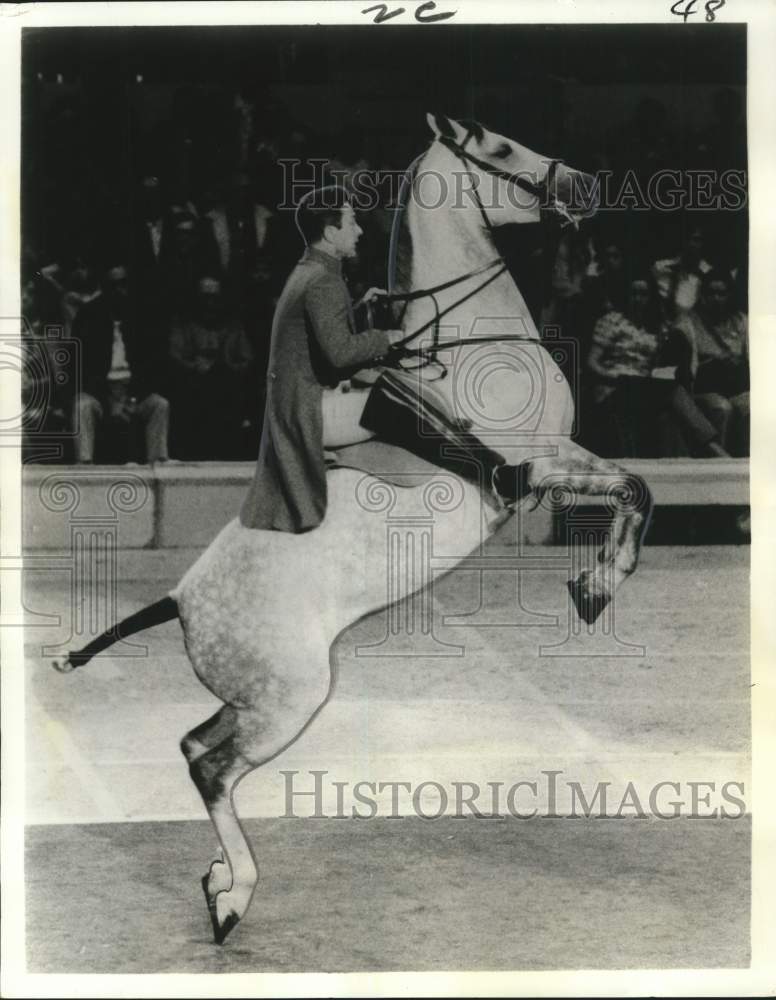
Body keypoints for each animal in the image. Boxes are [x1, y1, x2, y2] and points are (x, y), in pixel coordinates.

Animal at [51, 113, 652, 940]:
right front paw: (594, 587)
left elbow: (633, 488)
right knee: (212, 768)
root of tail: (178, 598)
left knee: (194, 744)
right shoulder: (536, 465)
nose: (588, 187)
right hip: (291, 699)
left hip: (257, 698)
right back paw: (234, 895)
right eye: (497, 147)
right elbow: (632, 489)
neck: (471, 338)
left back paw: (215, 880)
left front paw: (594, 587)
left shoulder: (565, 451)